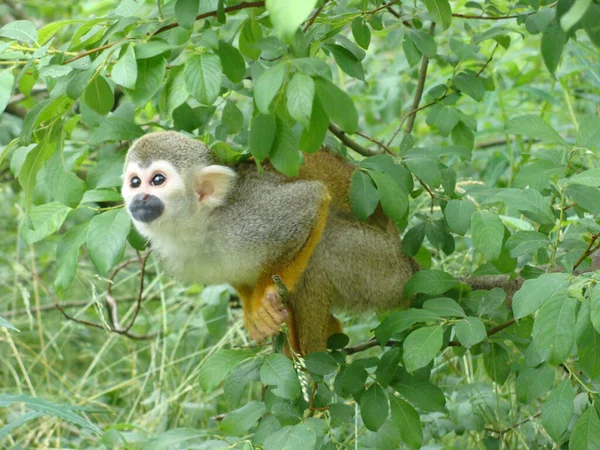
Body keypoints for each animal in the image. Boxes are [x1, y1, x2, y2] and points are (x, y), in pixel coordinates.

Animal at [123, 131, 418, 356]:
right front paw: (250, 307)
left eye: (158, 180)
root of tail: (410, 267)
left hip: (382, 272)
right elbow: (236, 273)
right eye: (135, 182)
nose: (139, 199)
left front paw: (263, 297)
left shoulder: (247, 219)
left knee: (323, 249)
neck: (202, 222)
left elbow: (311, 199)